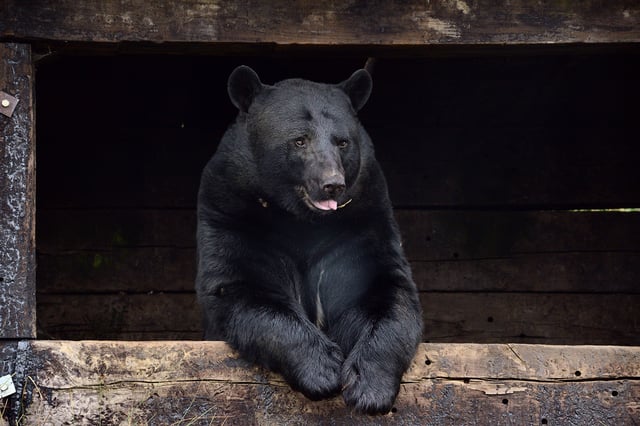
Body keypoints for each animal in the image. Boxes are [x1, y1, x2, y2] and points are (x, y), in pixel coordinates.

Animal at [195, 65, 423, 415]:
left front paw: (369, 388)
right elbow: (246, 288)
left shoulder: (363, 221)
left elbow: (384, 293)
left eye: (342, 142)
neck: (301, 219)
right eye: (299, 140)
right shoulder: (230, 213)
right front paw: (322, 369)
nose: (333, 184)